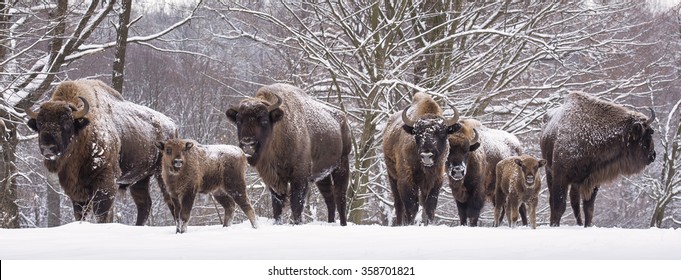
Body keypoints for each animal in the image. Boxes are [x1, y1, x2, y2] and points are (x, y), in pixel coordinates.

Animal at [26, 79, 177, 225]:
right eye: (39, 123)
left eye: (66, 122)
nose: (48, 148)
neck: (84, 130)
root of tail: (173, 125)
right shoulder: (77, 189)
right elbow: (80, 214)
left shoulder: (106, 180)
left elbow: (101, 213)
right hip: (140, 179)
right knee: (144, 205)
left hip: (162, 174)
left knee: (171, 201)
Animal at [226, 83, 350, 225]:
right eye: (238, 121)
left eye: (264, 120)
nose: (247, 143)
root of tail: (343, 119)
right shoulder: (273, 179)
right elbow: (277, 206)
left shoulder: (299, 177)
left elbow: (296, 204)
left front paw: (297, 223)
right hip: (323, 174)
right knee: (329, 199)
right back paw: (330, 222)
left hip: (342, 164)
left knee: (340, 197)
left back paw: (343, 224)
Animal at [380, 93, 460, 226]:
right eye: (417, 134)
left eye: (442, 133)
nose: (427, 155)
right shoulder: (406, 179)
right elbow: (412, 206)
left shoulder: (435, 180)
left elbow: (430, 206)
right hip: (392, 177)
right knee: (399, 204)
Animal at [540, 92, 656, 228]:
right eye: (648, 134)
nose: (653, 155)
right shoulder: (560, 176)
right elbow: (559, 205)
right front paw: (554, 225)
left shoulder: (592, 180)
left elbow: (589, 208)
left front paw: (587, 226)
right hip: (549, 172)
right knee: (554, 200)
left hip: (575, 183)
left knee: (575, 202)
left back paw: (579, 224)